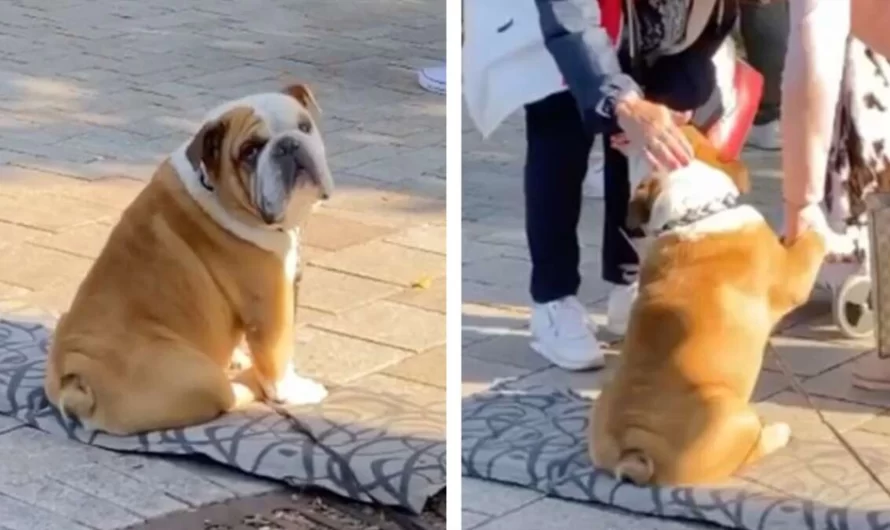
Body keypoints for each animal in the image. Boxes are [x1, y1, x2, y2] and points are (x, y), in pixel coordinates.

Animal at [44, 83, 332, 434]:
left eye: (305, 126)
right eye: (249, 151)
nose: (289, 144)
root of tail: (75, 383)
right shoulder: (269, 304)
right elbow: (278, 357)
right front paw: (295, 392)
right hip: (199, 375)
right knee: (228, 394)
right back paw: (246, 378)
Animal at [588, 127, 824, 482]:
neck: (692, 213)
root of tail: (636, 447)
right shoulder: (793, 274)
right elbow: (813, 240)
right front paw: (819, 218)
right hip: (733, 414)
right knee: (751, 446)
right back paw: (777, 431)